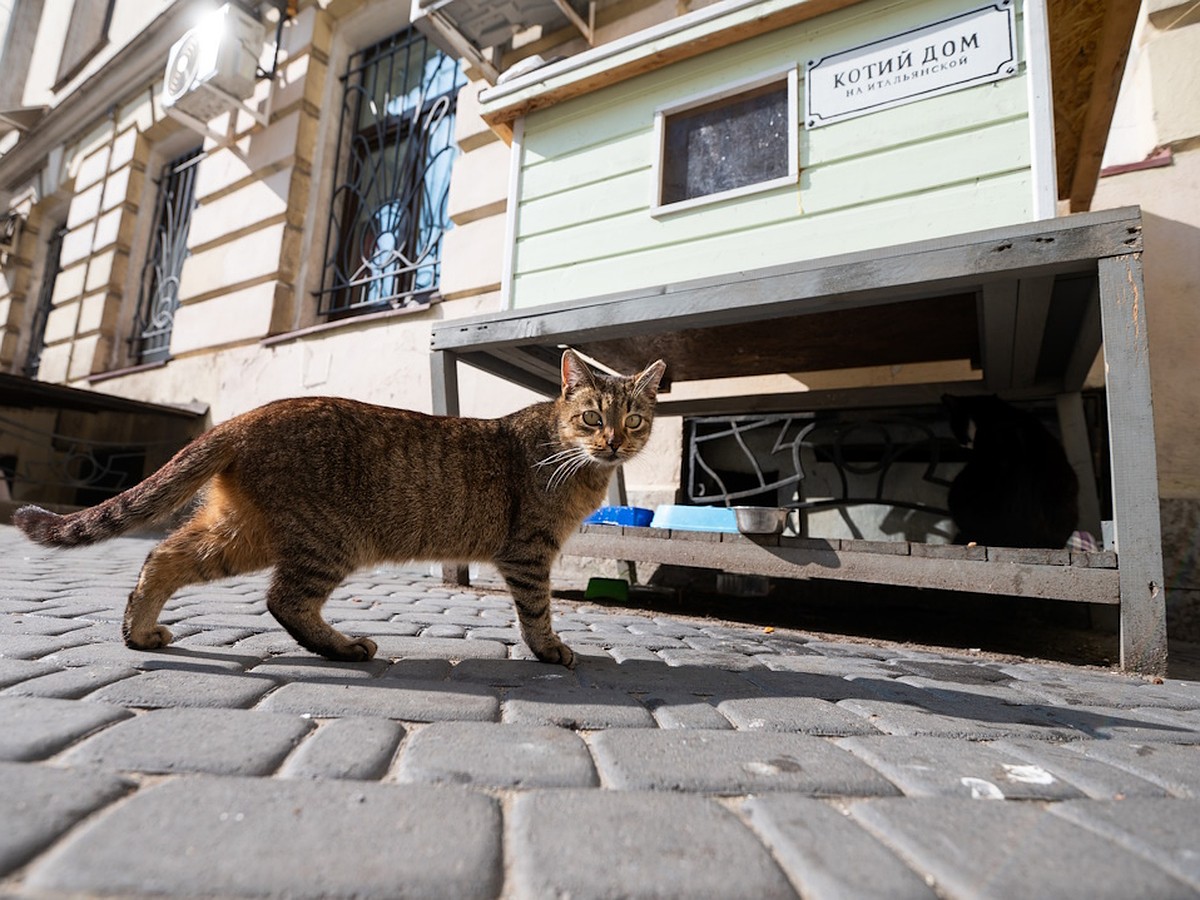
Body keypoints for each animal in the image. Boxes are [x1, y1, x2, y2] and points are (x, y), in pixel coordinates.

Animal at [11, 352, 667, 672]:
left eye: (634, 420)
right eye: (591, 417)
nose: (614, 442)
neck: (573, 458)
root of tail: (244, 417)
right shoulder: (529, 552)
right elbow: (536, 612)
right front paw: (550, 651)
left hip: (243, 533)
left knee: (162, 555)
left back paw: (139, 631)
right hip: (327, 539)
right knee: (283, 600)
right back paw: (344, 647)